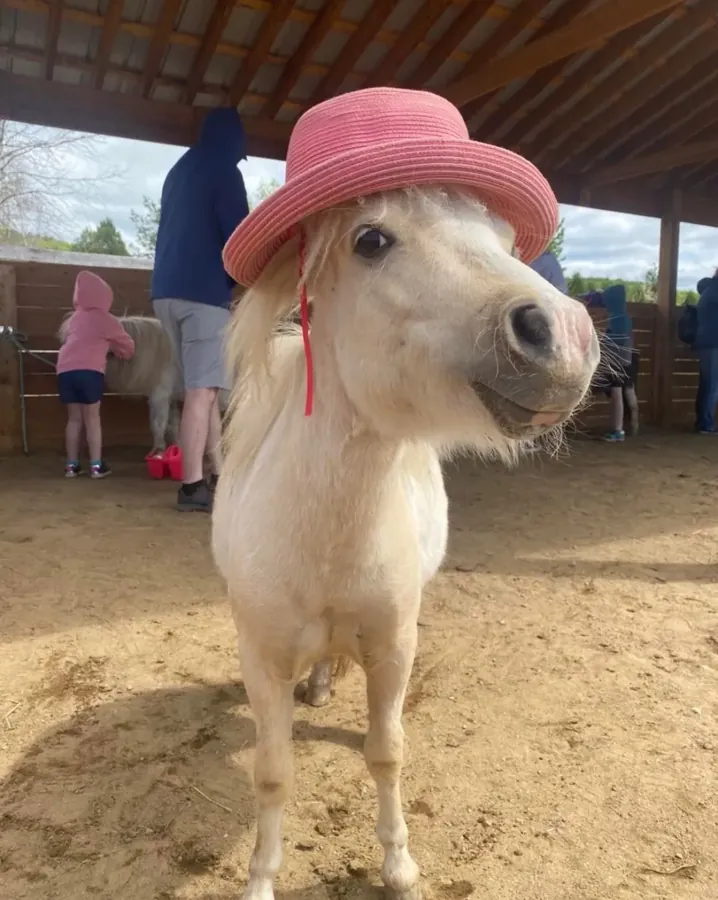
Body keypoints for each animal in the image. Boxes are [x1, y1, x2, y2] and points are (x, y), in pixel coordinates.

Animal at [211, 187, 599, 899]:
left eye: (505, 239)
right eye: (371, 240)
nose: (564, 335)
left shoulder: (394, 649)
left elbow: (386, 753)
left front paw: (398, 867)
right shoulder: (262, 659)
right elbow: (273, 774)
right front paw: (260, 881)